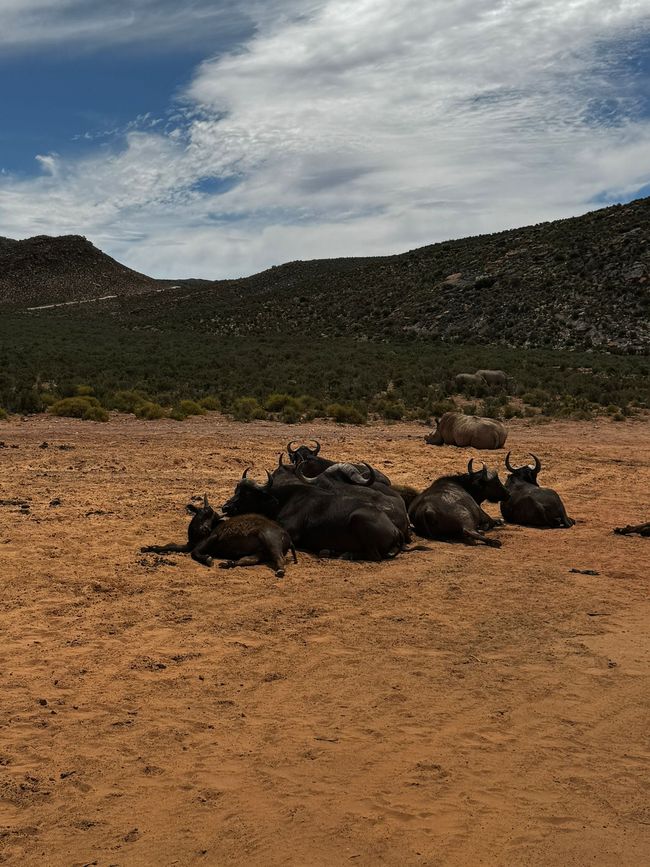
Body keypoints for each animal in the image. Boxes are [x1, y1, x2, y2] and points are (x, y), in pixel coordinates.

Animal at [142, 496, 296, 576]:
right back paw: (229, 563)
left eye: (214, 517)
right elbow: (170, 545)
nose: (205, 528)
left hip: (271, 541)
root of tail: (286, 535)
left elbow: (194, 553)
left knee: (279, 558)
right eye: (204, 512)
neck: (197, 536)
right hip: (261, 552)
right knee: (248, 559)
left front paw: (208, 559)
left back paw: (280, 570)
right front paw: (149, 548)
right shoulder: (188, 545)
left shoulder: (211, 539)